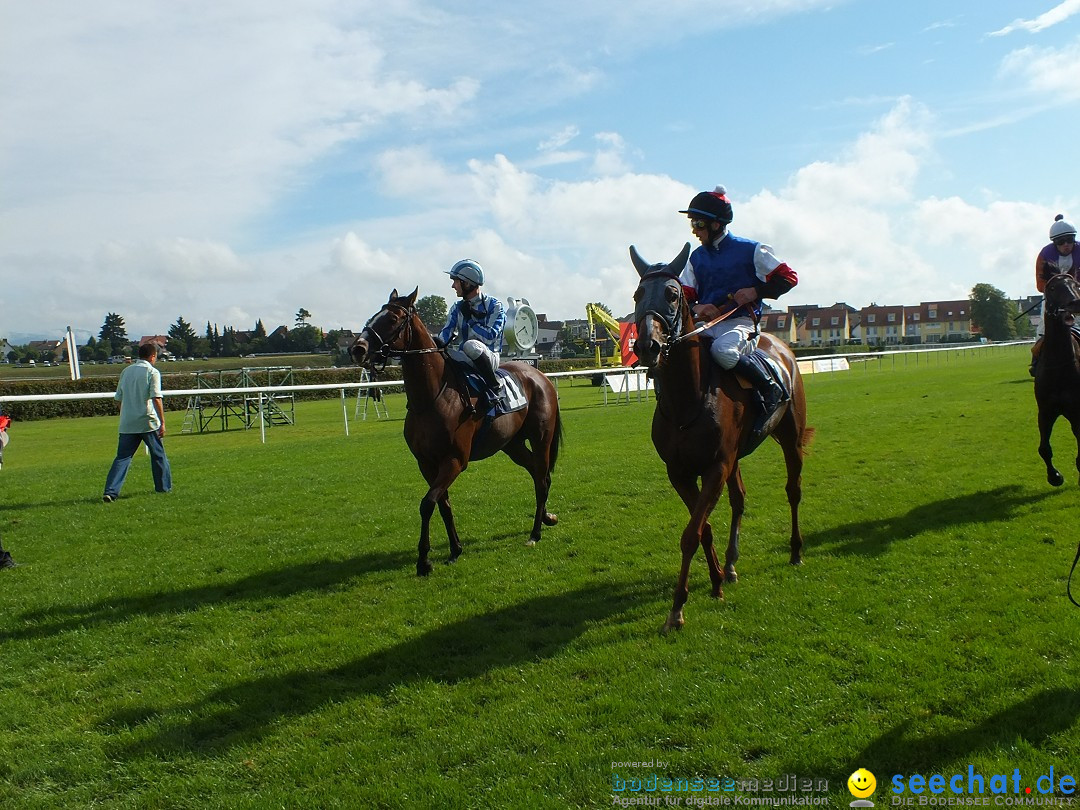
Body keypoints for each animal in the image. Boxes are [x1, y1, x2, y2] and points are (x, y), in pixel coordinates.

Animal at [352, 287, 561, 578]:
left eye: (392, 319)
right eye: (374, 315)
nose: (357, 349)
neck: (431, 398)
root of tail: (539, 376)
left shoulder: (454, 460)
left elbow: (427, 503)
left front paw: (424, 561)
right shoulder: (427, 463)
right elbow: (443, 505)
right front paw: (454, 550)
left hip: (541, 437)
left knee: (542, 479)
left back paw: (535, 533)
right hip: (512, 444)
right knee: (537, 474)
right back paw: (546, 517)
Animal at [630, 244, 812, 639]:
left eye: (672, 294)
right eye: (638, 294)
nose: (648, 346)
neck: (687, 401)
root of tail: (780, 347)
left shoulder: (716, 466)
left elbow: (691, 533)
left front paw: (677, 609)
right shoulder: (681, 472)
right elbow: (704, 528)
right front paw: (714, 582)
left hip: (789, 438)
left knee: (793, 490)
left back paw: (795, 550)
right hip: (736, 459)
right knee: (739, 500)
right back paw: (729, 566)